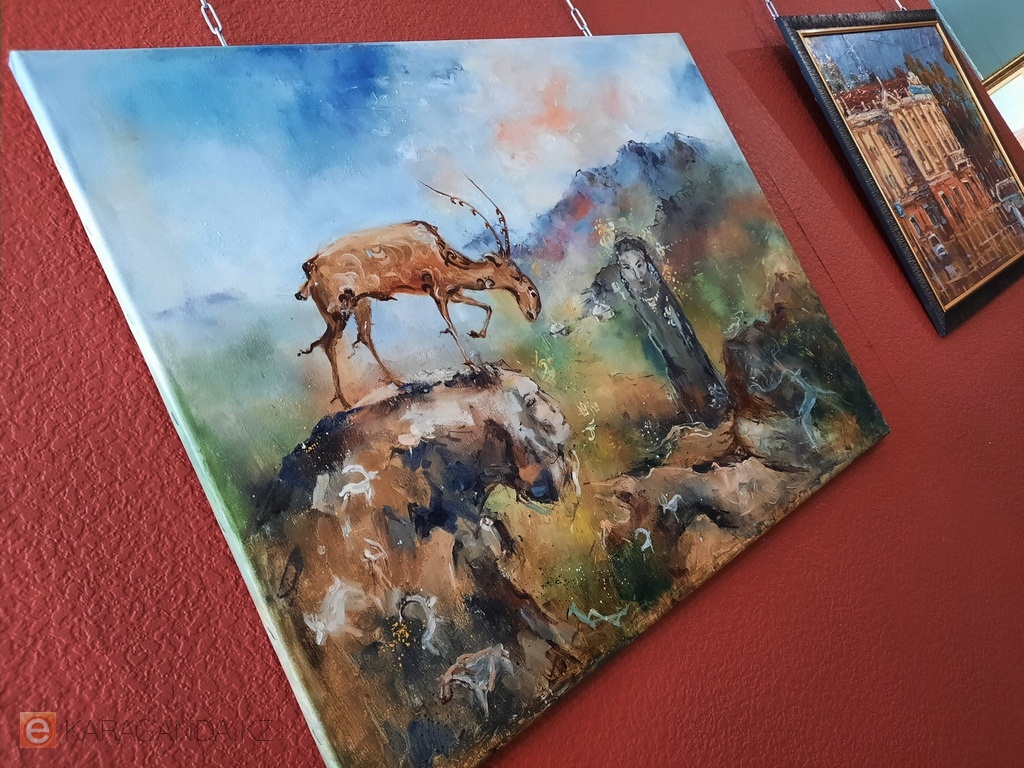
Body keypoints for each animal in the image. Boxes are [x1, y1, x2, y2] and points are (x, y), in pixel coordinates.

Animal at [295, 181, 542, 409]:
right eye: (515, 274)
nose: (534, 310)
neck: (444, 256)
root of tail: (310, 267)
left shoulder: (453, 292)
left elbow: (486, 307)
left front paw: (476, 334)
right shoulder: (439, 293)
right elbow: (451, 327)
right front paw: (471, 364)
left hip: (357, 304)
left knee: (353, 338)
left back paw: (383, 385)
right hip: (341, 309)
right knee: (332, 343)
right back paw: (353, 398)